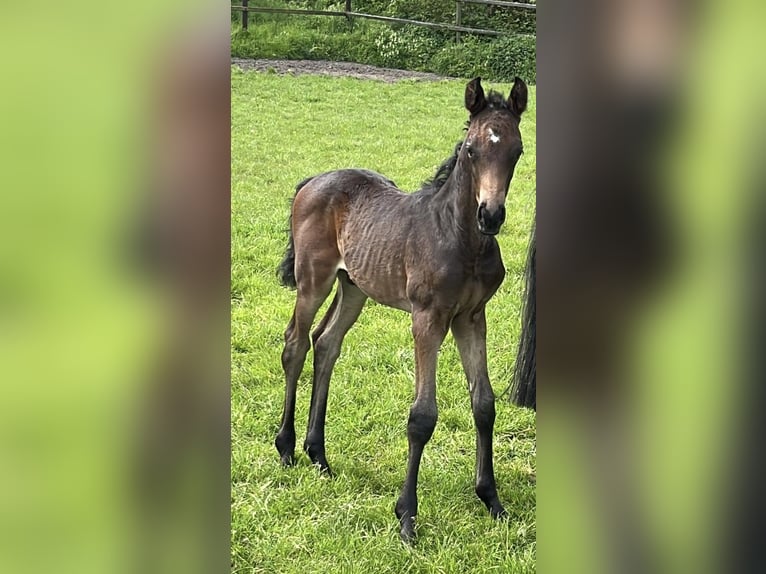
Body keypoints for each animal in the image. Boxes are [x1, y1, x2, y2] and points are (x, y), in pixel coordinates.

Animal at [274, 77, 528, 544]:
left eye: (517, 150)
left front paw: (492, 500)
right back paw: (285, 448)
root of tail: (313, 180)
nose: (491, 215)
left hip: (354, 286)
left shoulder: (471, 317)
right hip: (313, 279)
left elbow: (484, 404)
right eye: (470, 149)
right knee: (295, 344)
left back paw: (319, 455)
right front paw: (407, 516)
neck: (461, 238)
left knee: (326, 343)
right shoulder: (427, 317)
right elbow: (423, 415)